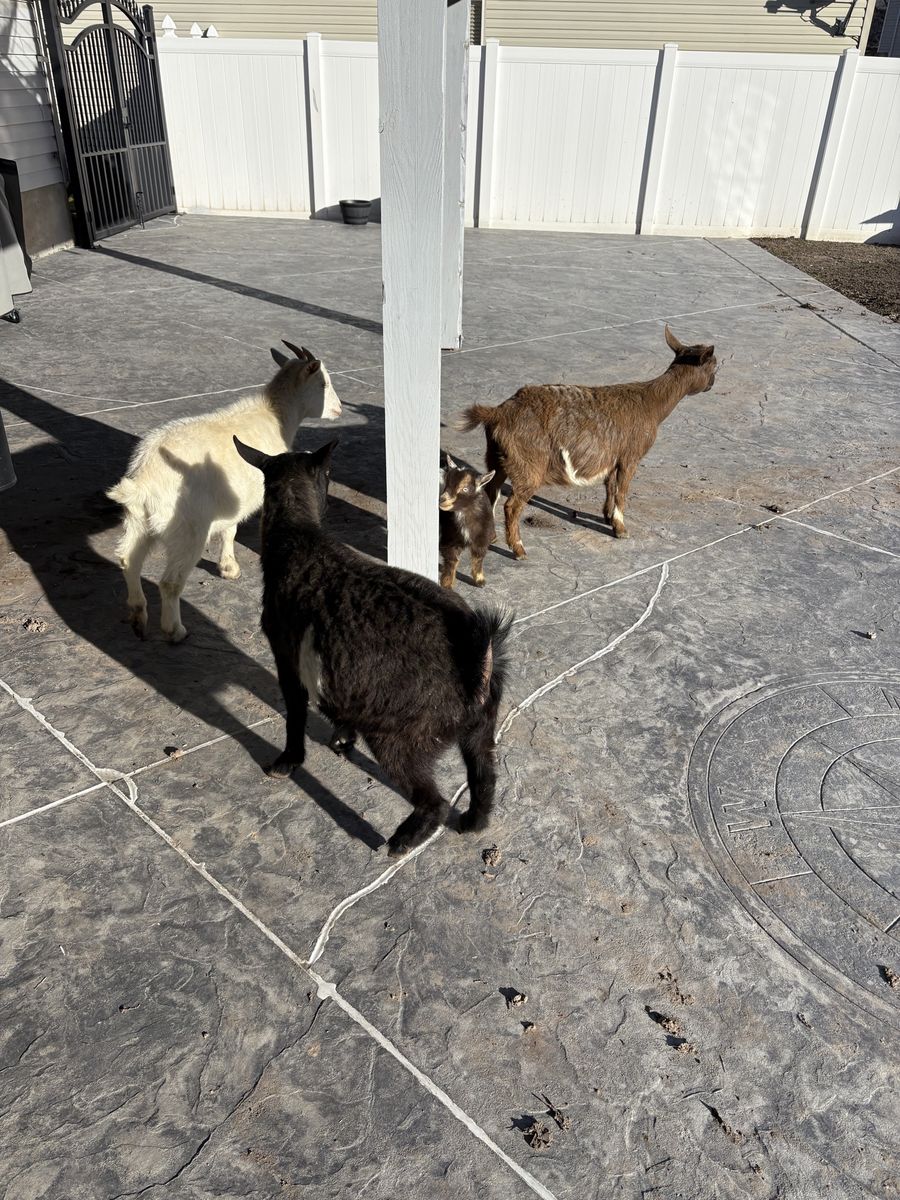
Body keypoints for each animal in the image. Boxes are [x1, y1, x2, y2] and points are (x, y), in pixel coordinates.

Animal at [106, 342, 341, 642]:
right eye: (323, 383)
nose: (339, 409)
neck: (275, 413)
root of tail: (142, 481)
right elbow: (232, 530)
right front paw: (230, 567)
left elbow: (229, 529)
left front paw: (228, 567)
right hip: (188, 528)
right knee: (170, 582)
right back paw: (175, 630)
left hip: (137, 521)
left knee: (129, 560)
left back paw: (138, 616)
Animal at [439, 453, 496, 589]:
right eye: (447, 484)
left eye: (465, 489)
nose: (442, 500)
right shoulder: (449, 538)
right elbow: (452, 560)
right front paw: (447, 585)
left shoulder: (482, 537)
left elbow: (478, 557)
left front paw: (480, 581)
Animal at [457, 326, 717, 559]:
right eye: (714, 365)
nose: (712, 384)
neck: (651, 404)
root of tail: (498, 413)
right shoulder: (630, 456)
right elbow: (622, 490)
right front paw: (621, 529)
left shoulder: (613, 455)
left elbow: (610, 485)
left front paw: (607, 517)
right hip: (527, 465)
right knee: (511, 506)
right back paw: (519, 550)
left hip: (497, 457)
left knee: (491, 491)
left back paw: (492, 537)